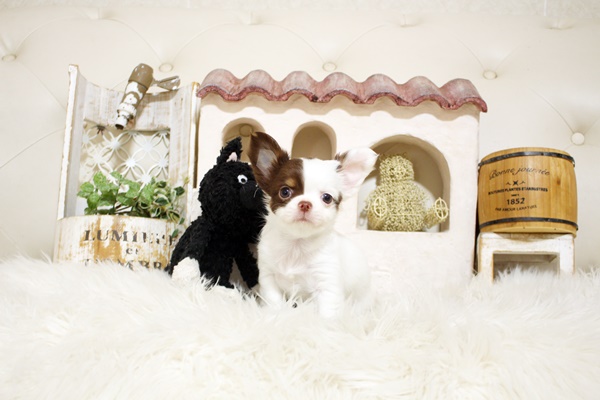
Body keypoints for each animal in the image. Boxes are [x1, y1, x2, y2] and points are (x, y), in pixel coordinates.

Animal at [248, 131, 378, 317]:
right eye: (285, 192)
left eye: (327, 198)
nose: (305, 204)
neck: (296, 244)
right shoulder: (269, 278)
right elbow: (274, 303)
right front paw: (276, 317)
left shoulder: (327, 284)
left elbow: (326, 313)